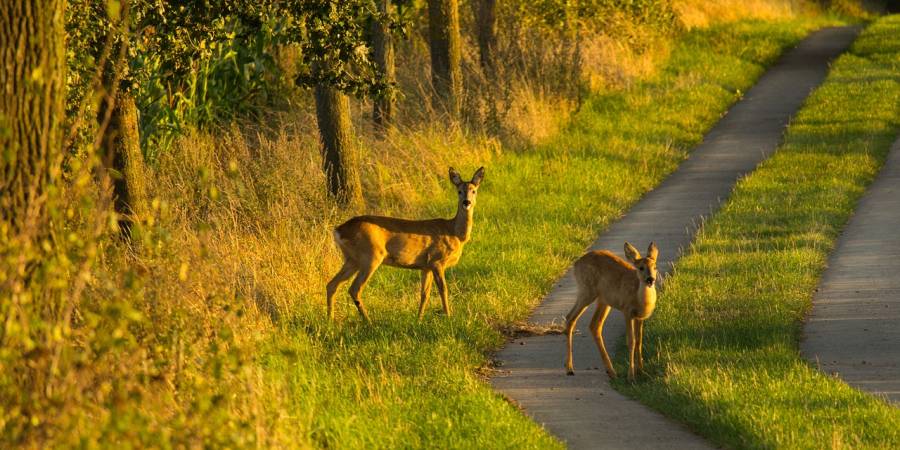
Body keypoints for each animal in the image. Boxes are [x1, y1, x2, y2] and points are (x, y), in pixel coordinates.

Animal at [326, 167, 486, 322]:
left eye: (474, 190)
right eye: (459, 191)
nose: (466, 202)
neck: (455, 233)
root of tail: (339, 230)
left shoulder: (426, 266)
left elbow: (424, 294)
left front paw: (418, 319)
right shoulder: (437, 260)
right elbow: (443, 289)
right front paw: (448, 317)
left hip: (352, 258)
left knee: (332, 284)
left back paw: (330, 321)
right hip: (370, 255)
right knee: (354, 288)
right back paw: (369, 322)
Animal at [568, 243, 656, 380]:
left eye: (655, 267)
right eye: (641, 268)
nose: (650, 279)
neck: (639, 298)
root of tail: (576, 264)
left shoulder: (640, 317)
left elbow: (639, 341)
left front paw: (642, 371)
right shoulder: (627, 311)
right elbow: (631, 341)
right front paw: (631, 376)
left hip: (603, 300)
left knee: (594, 325)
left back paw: (611, 371)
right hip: (587, 290)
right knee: (570, 318)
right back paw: (570, 369)